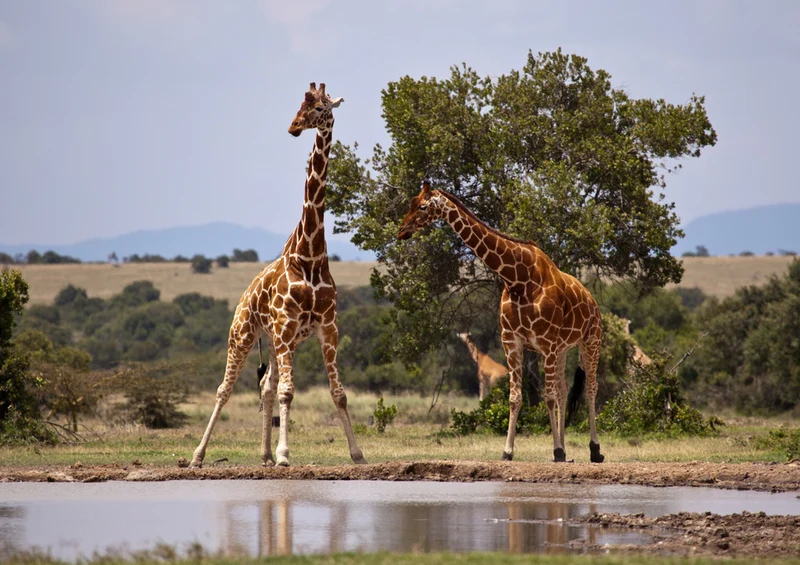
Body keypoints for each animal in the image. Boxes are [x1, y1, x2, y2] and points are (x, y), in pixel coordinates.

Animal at [190, 83, 365, 468]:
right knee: (225, 389)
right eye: (300, 105)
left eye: (320, 106)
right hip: (243, 334)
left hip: (275, 342)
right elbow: (288, 392)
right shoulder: (286, 327)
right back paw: (197, 455)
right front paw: (286, 455)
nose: (293, 127)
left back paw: (265, 454)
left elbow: (338, 393)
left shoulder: (327, 328)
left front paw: (357, 453)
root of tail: (243, 297)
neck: (310, 255)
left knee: (266, 385)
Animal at [398, 181, 604, 463]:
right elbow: (516, 397)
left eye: (422, 206)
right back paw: (567, 448)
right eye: (409, 203)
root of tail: (592, 300)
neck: (519, 278)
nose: (401, 231)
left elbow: (548, 397)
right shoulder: (513, 341)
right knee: (564, 390)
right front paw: (509, 451)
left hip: (591, 340)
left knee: (591, 388)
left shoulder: (547, 343)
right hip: (563, 349)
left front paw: (557, 451)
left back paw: (594, 450)